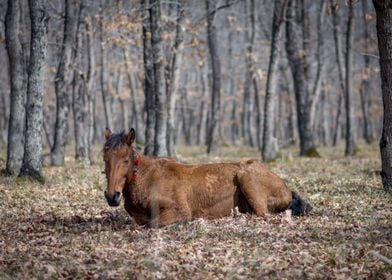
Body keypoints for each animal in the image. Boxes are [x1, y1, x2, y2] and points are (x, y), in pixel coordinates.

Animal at [102, 129, 312, 228]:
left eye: (126, 159)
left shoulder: (179, 210)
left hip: (247, 180)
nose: (112, 196)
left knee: (264, 215)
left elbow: (153, 223)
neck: (147, 179)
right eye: (105, 158)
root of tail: (286, 189)